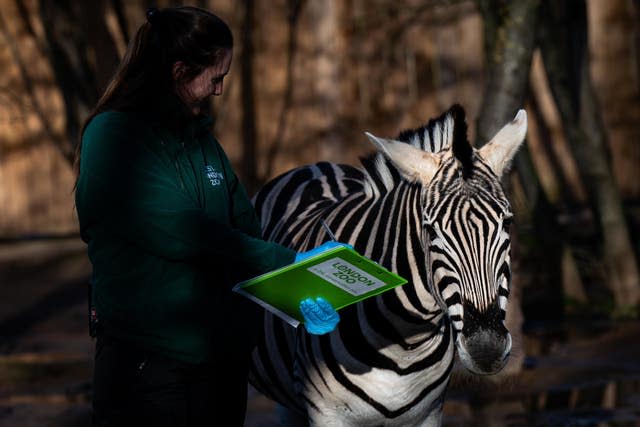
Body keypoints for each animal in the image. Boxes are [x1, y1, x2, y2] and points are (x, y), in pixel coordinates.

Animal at [248, 104, 528, 427]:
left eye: (507, 223)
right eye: (431, 230)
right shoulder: (326, 414)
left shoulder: (429, 414)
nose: (486, 349)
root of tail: (316, 166)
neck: (405, 343)